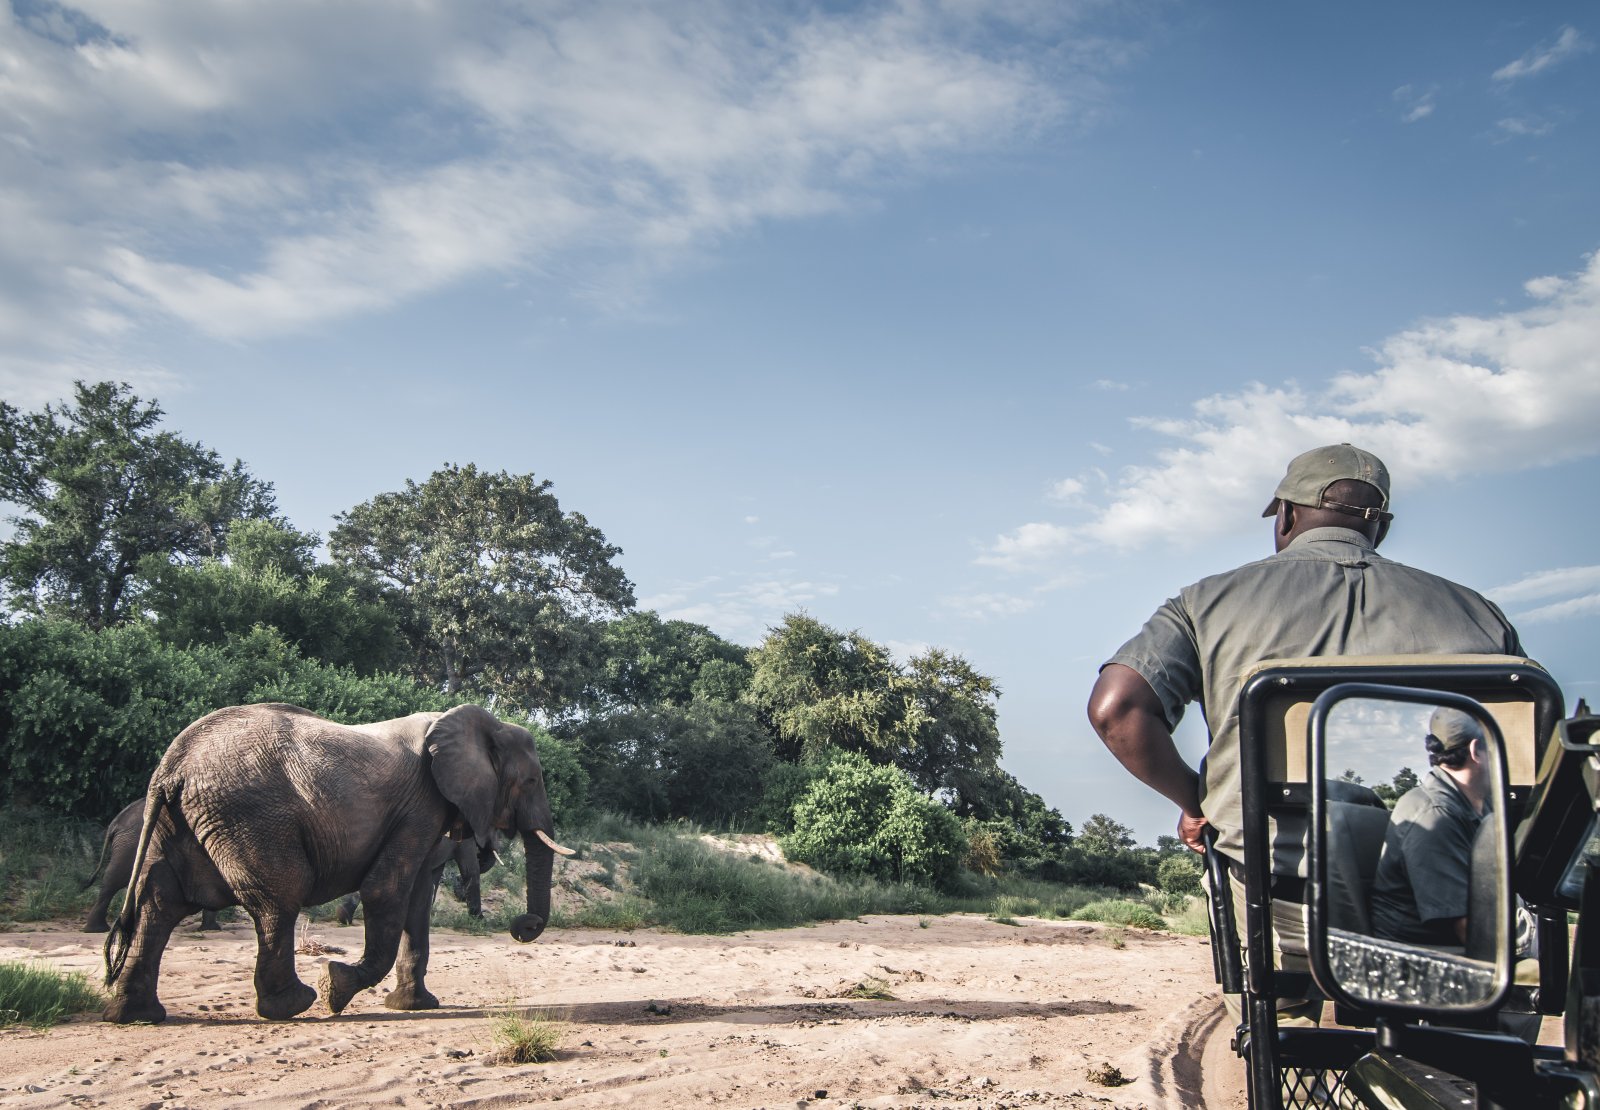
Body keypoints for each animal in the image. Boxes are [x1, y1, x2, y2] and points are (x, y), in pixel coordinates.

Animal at [83, 799, 220, 933]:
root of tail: (115, 822)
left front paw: (210, 928)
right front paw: (211, 928)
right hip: (130, 845)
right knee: (116, 879)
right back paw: (97, 929)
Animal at [103, 702, 572, 1024]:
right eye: (531, 780)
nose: (523, 926)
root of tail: (173, 764)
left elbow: (418, 900)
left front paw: (412, 1005)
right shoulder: (421, 804)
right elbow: (387, 890)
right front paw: (336, 988)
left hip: (180, 821)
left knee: (159, 905)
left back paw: (135, 1015)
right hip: (248, 817)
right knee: (278, 900)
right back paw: (296, 1004)